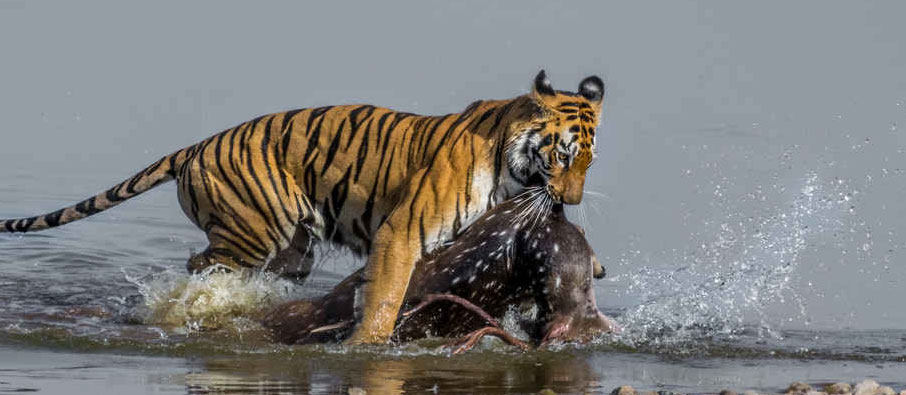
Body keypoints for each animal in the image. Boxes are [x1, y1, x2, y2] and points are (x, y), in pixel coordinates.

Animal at [5, 70, 608, 344]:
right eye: (563, 155)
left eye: (588, 163)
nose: (571, 200)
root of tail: (193, 148)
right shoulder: (402, 234)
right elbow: (386, 298)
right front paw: (369, 347)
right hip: (249, 236)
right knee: (198, 271)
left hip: (290, 251)